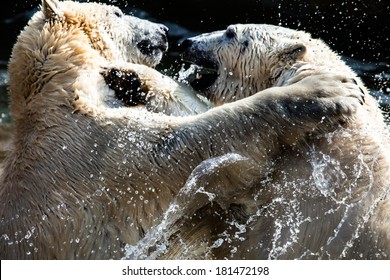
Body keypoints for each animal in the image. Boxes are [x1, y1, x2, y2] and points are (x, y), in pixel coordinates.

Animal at [0, 0, 366, 260]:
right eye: (117, 11)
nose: (164, 29)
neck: (60, 83)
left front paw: (132, 80)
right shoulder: (93, 149)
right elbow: (180, 145)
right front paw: (330, 89)